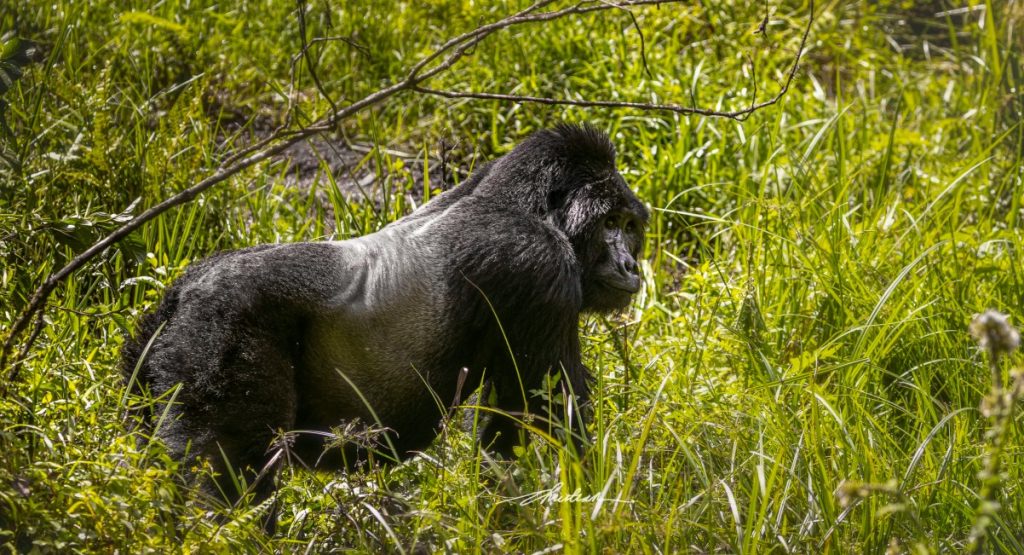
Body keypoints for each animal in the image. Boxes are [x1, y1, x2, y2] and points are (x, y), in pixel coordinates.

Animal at [121, 123, 648, 520]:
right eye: (609, 223)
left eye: (630, 226)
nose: (631, 266)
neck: (520, 202)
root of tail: (181, 296)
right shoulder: (539, 264)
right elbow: (550, 423)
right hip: (219, 327)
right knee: (226, 479)